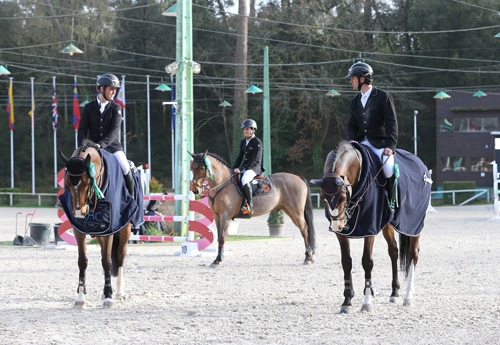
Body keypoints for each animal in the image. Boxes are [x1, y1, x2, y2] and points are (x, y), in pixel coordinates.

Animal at [59, 141, 141, 308]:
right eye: (68, 183)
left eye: (87, 182)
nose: (79, 212)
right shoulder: (79, 230)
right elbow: (82, 261)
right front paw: (80, 297)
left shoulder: (110, 229)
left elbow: (107, 261)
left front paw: (109, 297)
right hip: (99, 234)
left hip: (124, 230)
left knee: (120, 255)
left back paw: (118, 292)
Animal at [310, 141, 432, 314]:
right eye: (322, 197)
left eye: (343, 197)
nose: (336, 225)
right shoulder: (342, 234)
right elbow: (346, 262)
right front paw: (347, 301)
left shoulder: (370, 228)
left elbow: (367, 261)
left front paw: (367, 302)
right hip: (387, 225)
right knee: (393, 251)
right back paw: (394, 293)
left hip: (413, 224)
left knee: (413, 254)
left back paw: (408, 297)